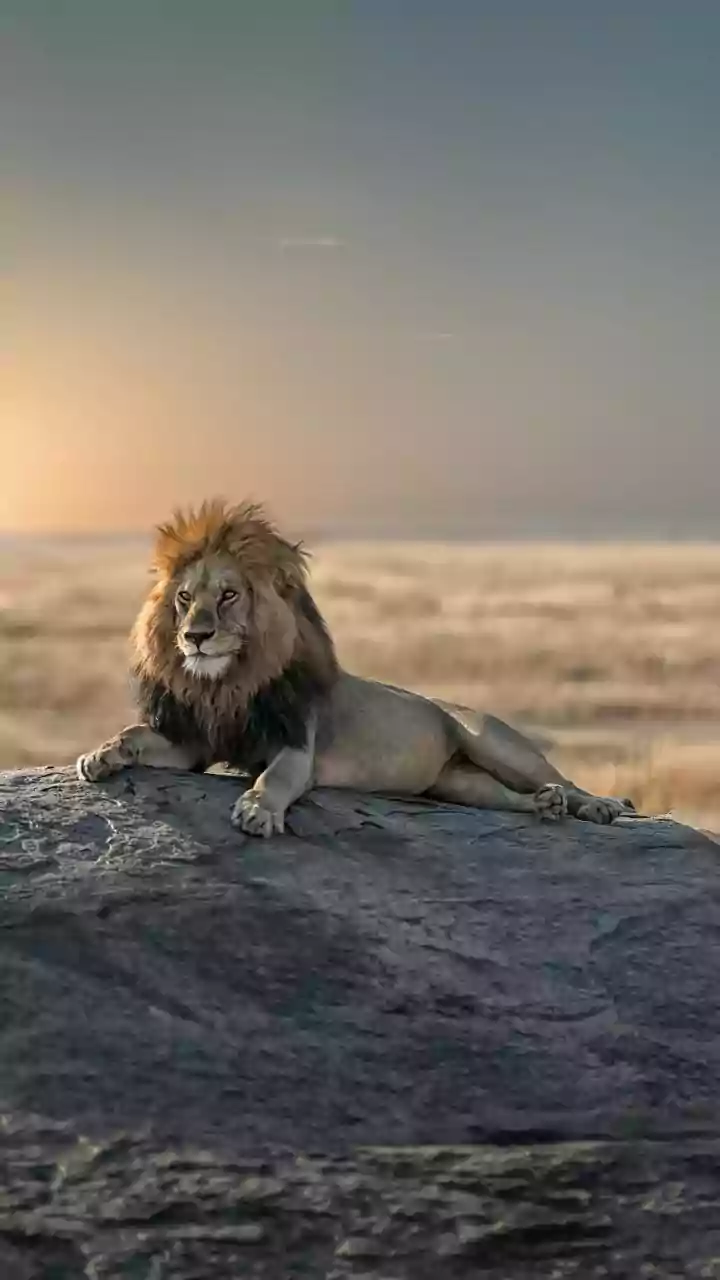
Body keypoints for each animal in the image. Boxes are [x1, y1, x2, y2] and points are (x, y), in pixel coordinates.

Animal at [76, 499, 636, 835]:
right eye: (185, 598)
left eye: (229, 595)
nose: (195, 636)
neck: (229, 683)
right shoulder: (194, 743)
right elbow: (136, 734)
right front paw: (100, 755)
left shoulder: (295, 745)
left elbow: (274, 779)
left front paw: (257, 810)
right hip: (455, 783)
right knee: (505, 797)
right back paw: (542, 807)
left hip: (493, 742)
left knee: (562, 778)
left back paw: (597, 806)